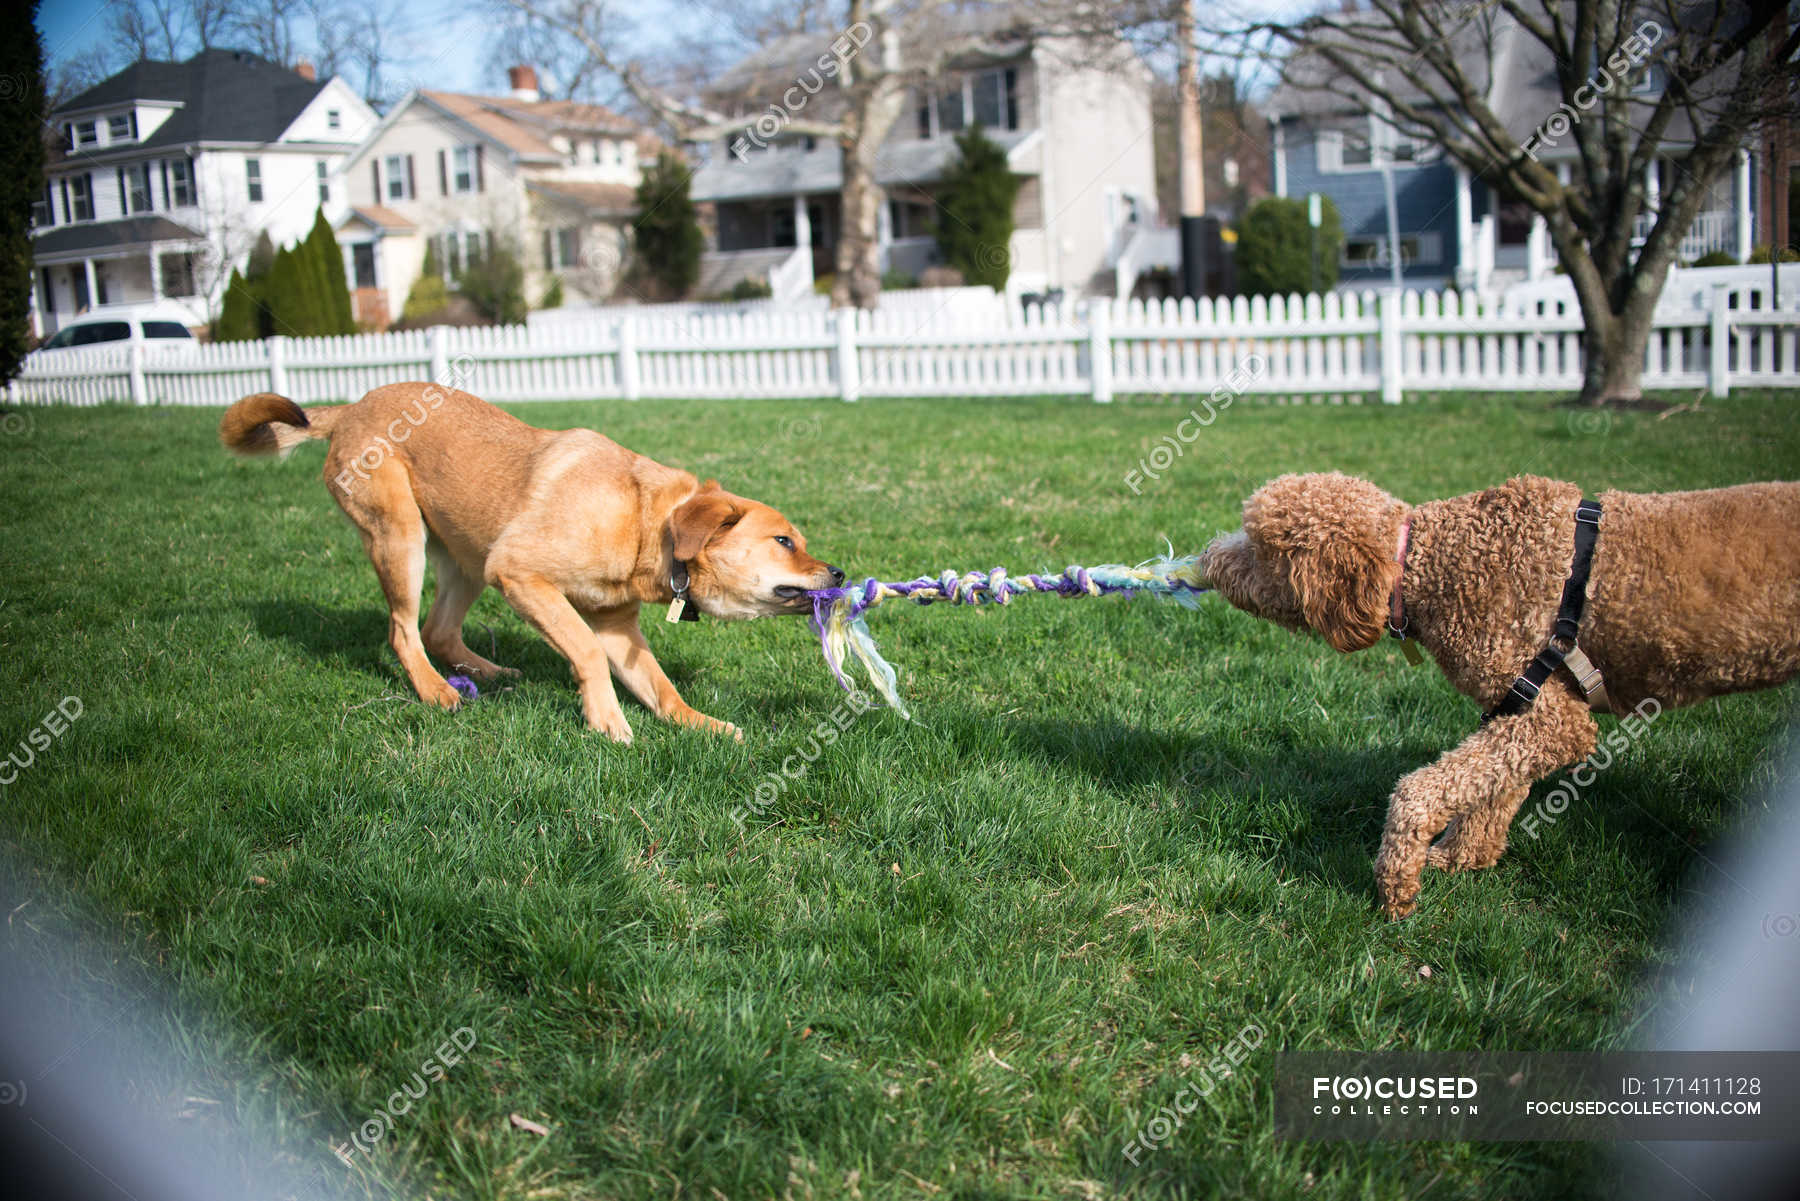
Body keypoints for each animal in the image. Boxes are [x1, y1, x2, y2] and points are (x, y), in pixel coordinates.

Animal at [219, 385, 842, 741]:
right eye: (785, 541)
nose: (838, 574)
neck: (646, 522)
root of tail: (350, 408)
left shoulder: (617, 625)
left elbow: (660, 686)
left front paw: (698, 724)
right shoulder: (521, 575)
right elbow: (585, 651)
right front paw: (606, 721)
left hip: (466, 559)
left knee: (438, 629)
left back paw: (489, 673)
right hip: (402, 538)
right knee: (403, 630)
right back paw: (435, 691)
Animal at [1202, 471, 1800, 921]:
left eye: (1258, 546)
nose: (1206, 558)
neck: (1430, 562)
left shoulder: (1553, 720)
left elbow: (1421, 791)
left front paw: (1398, 879)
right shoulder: (1520, 705)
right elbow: (1492, 793)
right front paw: (1462, 857)